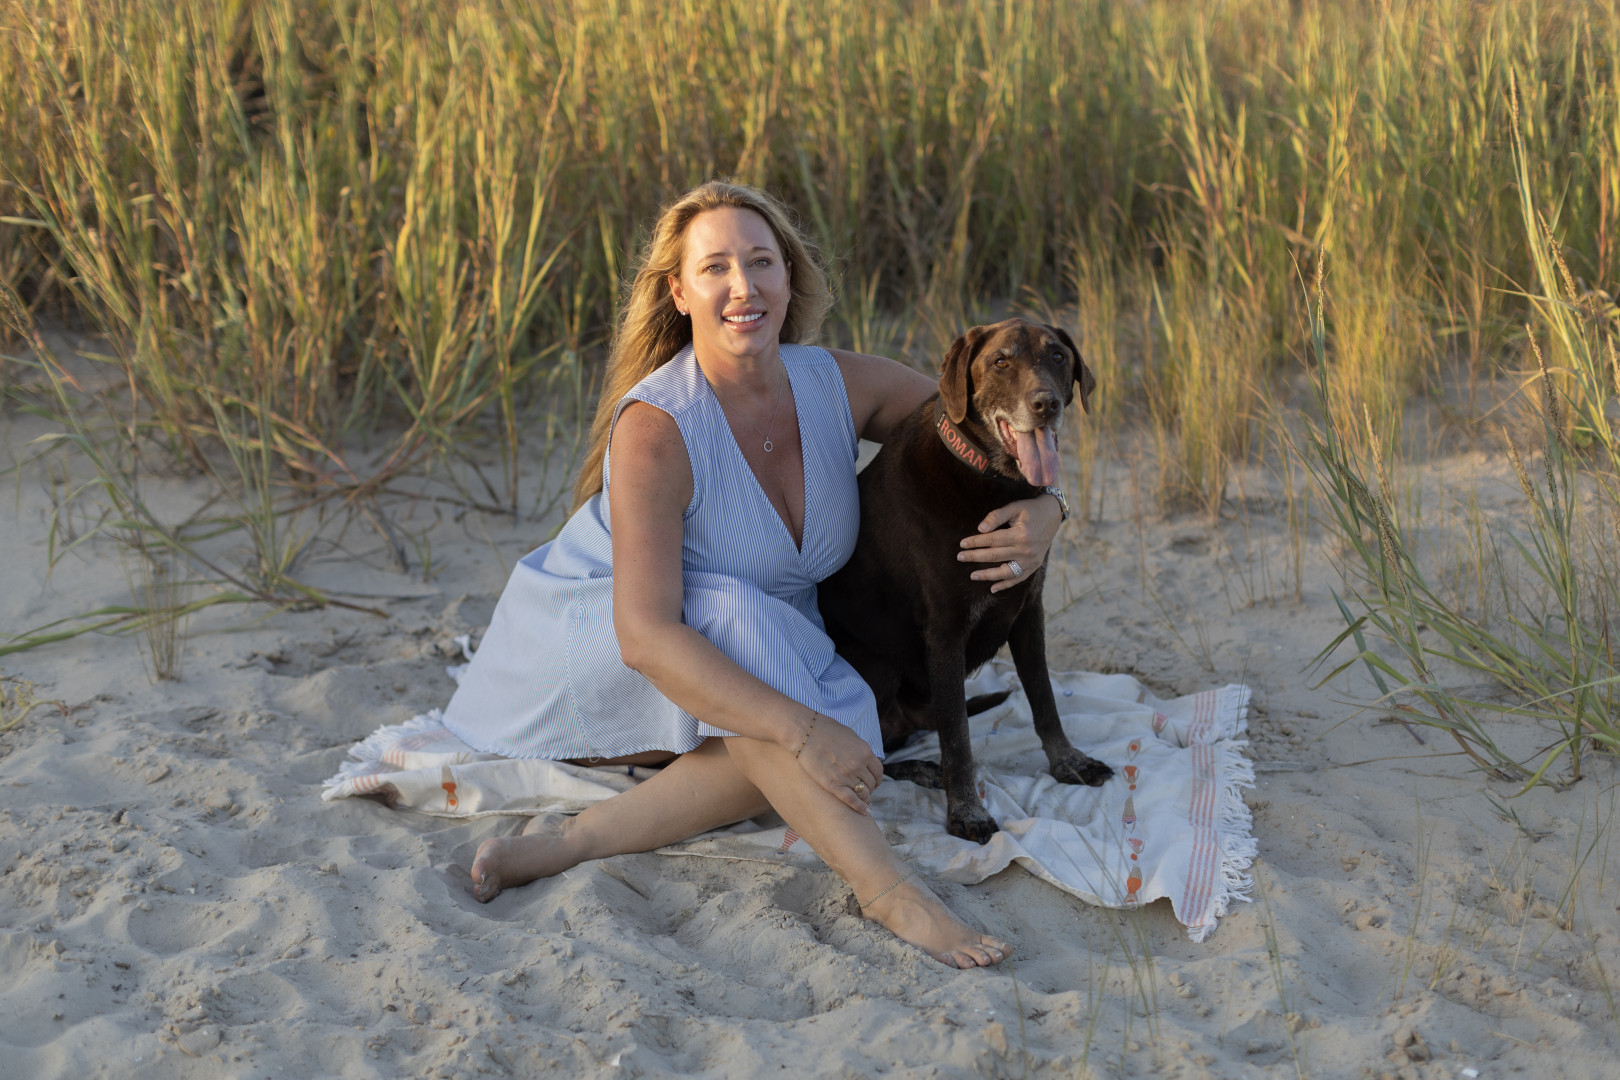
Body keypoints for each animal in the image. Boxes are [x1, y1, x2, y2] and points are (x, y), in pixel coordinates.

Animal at [819, 318, 1113, 844]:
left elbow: (1044, 699)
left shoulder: (1028, 611)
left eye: (1058, 356)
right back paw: (925, 770)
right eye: (1000, 361)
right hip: (876, 664)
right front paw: (966, 812)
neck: (991, 481)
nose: (1046, 404)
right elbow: (958, 736)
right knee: (868, 756)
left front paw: (1067, 762)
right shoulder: (946, 632)